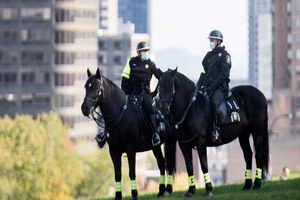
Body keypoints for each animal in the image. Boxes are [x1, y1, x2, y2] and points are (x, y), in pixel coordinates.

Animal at [81, 69, 173, 200]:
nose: (84, 108)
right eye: (86, 87)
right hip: (155, 147)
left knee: (169, 164)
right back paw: (160, 191)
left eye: (96, 87)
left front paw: (134, 194)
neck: (120, 115)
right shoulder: (114, 152)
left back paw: (168, 190)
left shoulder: (131, 150)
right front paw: (118, 196)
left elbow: (132, 172)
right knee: (161, 163)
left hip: (171, 142)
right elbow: (117, 174)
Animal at [157, 69, 270, 197]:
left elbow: (204, 165)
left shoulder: (201, 143)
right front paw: (191, 191)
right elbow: (189, 167)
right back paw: (247, 185)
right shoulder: (184, 145)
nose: (163, 108)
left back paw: (257, 184)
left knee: (259, 154)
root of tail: (261, 94)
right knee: (248, 155)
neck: (191, 109)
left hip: (258, 131)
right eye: (159, 87)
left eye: (171, 87)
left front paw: (209, 189)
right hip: (243, 134)